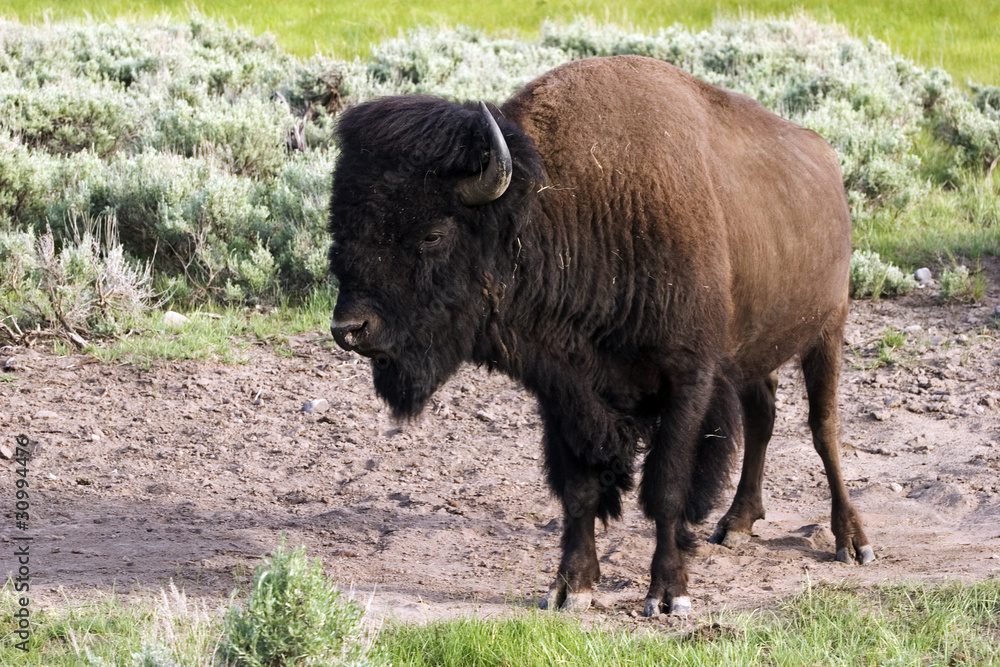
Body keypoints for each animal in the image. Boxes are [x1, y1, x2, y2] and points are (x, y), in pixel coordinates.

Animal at [330, 54, 876, 620]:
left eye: (433, 234)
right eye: (339, 225)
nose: (349, 328)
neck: (560, 212)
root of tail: (826, 161)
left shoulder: (689, 380)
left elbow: (667, 488)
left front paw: (668, 594)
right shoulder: (563, 390)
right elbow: (579, 490)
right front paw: (570, 588)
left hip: (828, 329)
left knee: (823, 427)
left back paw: (851, 541)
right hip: (754, 354)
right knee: (762, 416)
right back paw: (736, 523)